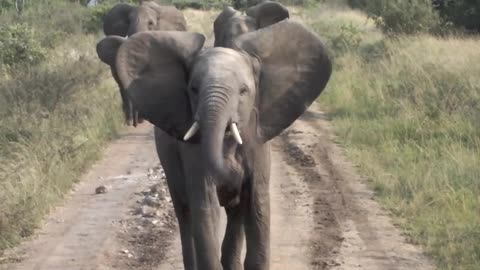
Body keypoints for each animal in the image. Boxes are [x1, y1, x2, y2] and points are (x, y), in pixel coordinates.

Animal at [95, 19, 332, 270]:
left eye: (243, 91)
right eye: (194, 89)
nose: (232, 175)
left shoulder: (257, 143)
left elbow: (257, 206)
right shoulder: (193, 152)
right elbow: (206, 208)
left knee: (235, 215)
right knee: (186, 214)